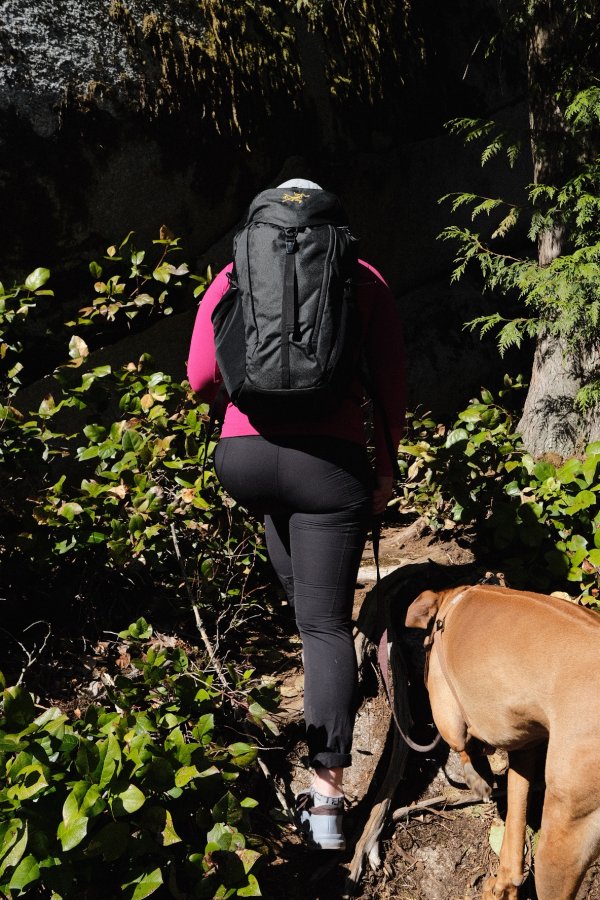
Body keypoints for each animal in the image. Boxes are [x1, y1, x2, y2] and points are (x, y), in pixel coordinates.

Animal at [406, 584, 600, 900]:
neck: (453, 602)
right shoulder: (524, 743)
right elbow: (515, 820)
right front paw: (505, 883)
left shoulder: (448, 709)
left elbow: (462, 743)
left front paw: (476, 775)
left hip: (563, 840)